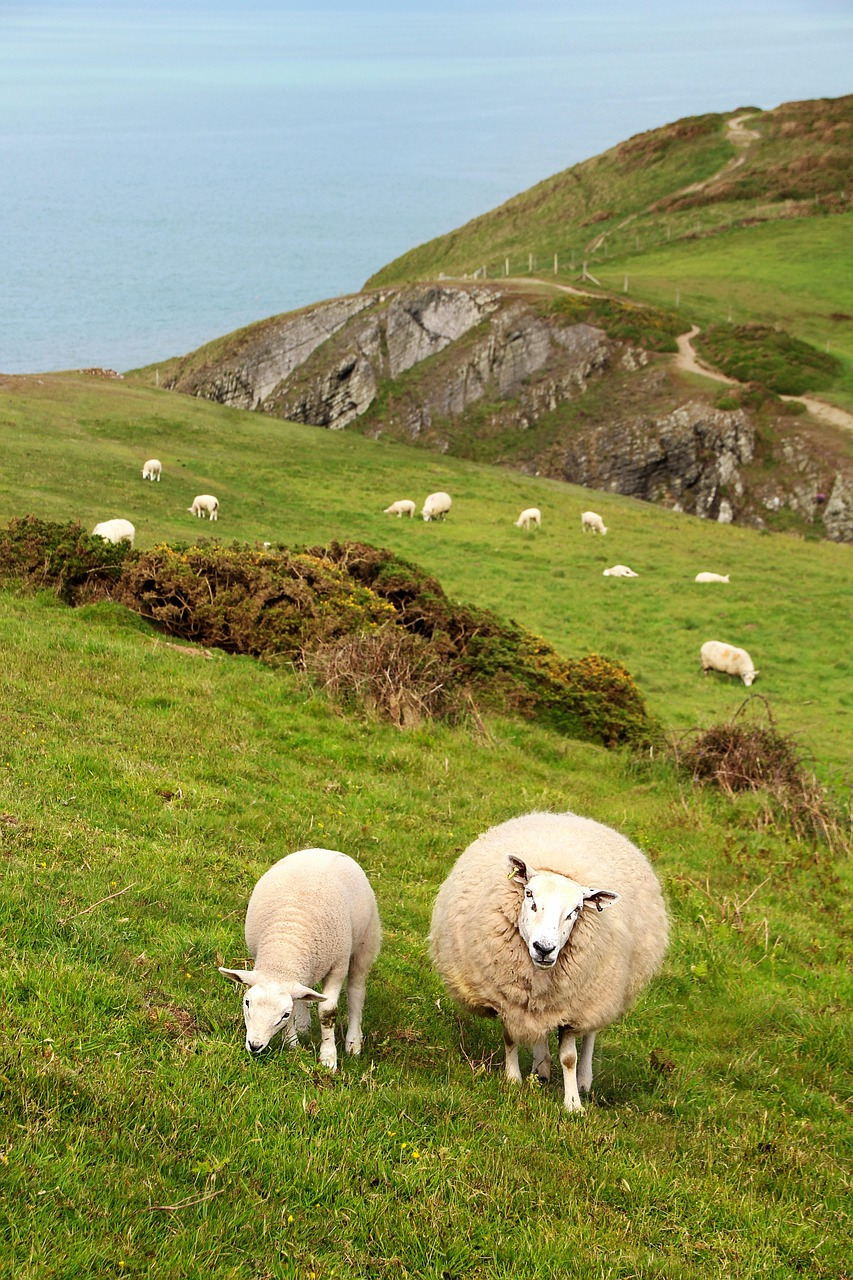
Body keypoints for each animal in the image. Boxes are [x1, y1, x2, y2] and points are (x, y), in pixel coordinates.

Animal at [219, 848, 381, 1072]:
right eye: (247, 1002)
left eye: (284, 1014)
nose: (254, 1045)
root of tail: (326, 850)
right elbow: (299, 1001)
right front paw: (292, 1044)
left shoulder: (337, 968)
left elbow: (327, 1012)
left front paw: (328, 1059)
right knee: (307, 990)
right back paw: (304, 1025)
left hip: (365, 942)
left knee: (356, 992)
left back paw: (353, 1042)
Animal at [429, 810, 668, 1112]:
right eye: (529, 894)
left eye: (576, 909)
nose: (544, 948)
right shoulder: (507, 997)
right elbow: (511, 1037)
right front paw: (513, 1080)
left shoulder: (573, 1008)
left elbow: (569, 1057)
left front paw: (573, 1105)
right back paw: (540, 1068)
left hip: (600, 994)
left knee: (590, 1032)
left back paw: (583, 1081)